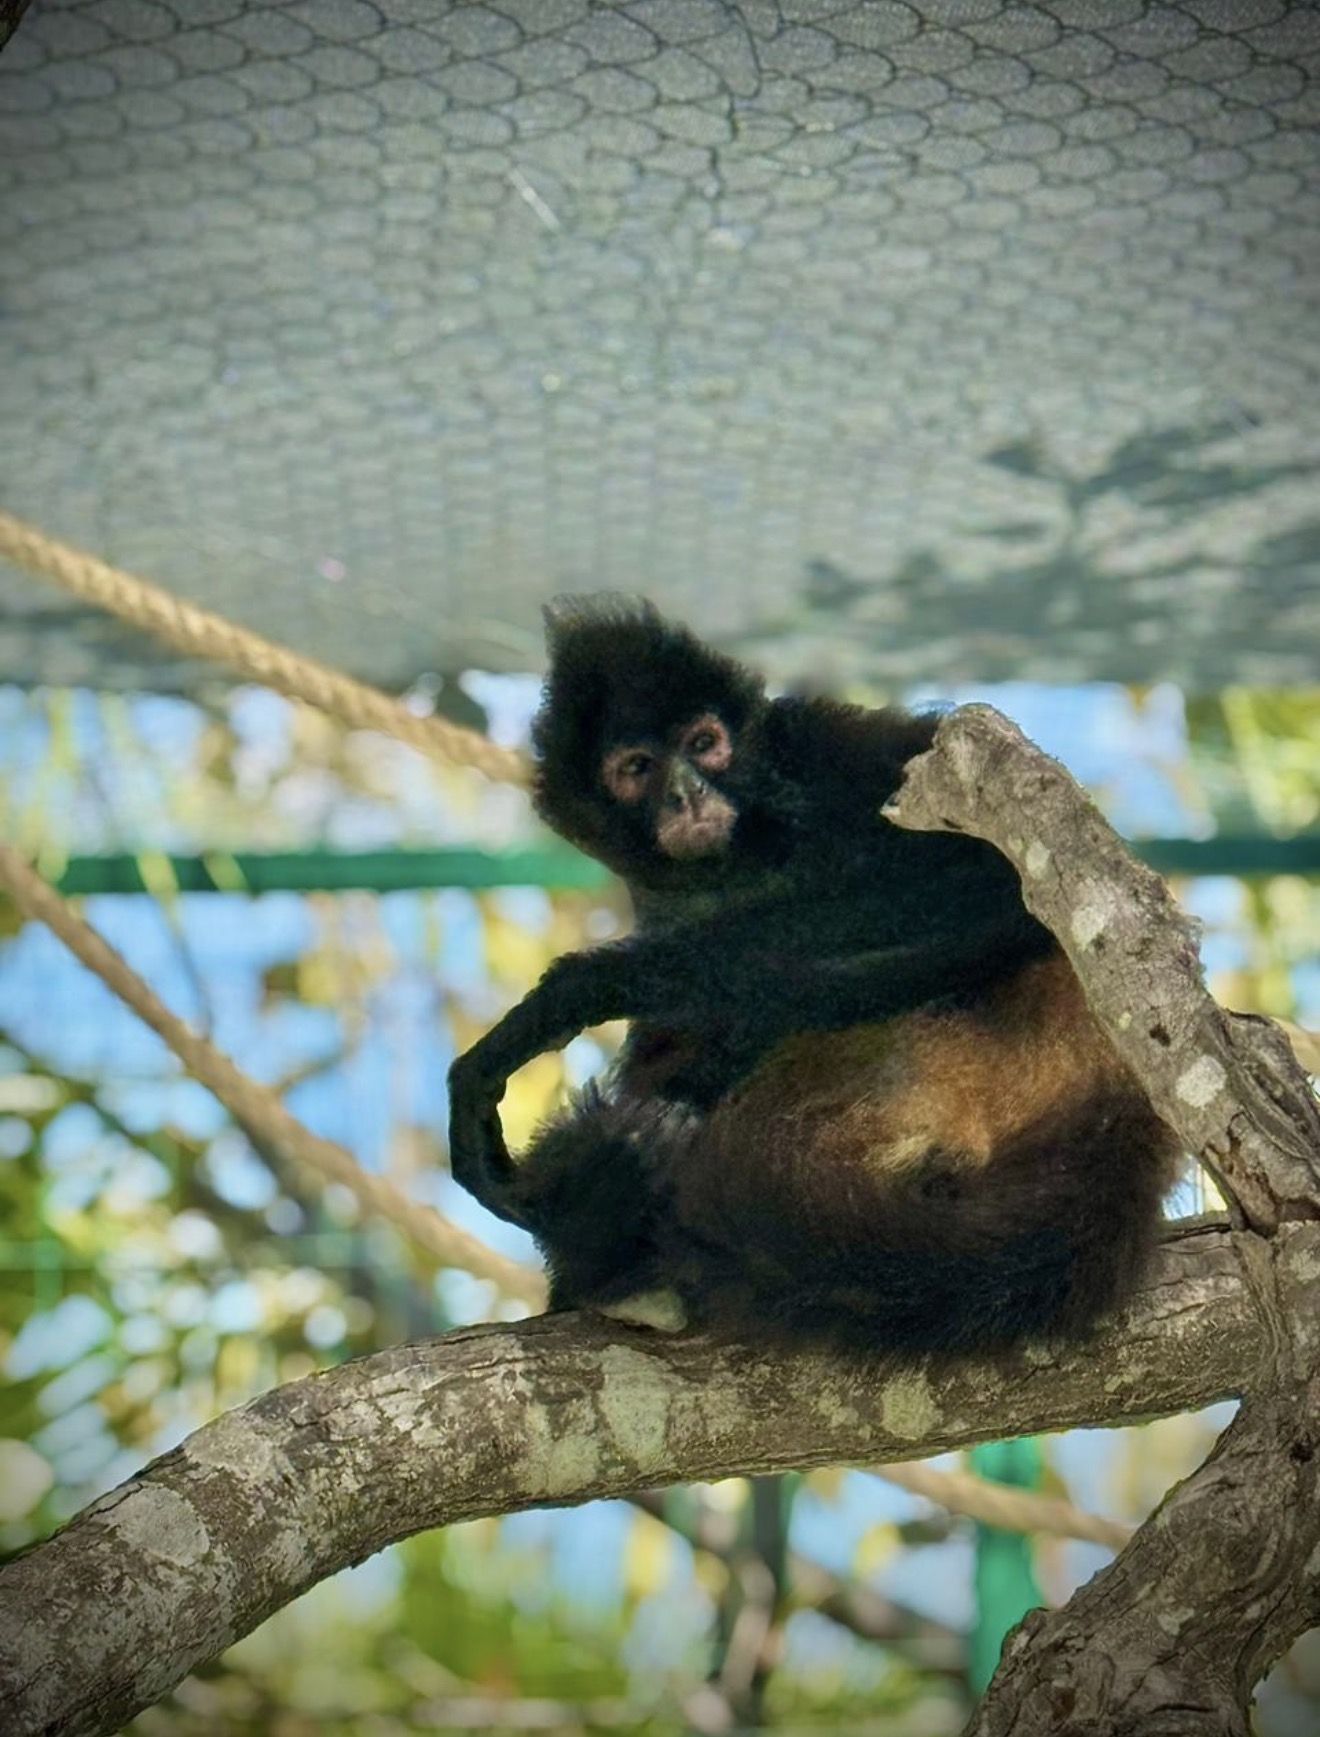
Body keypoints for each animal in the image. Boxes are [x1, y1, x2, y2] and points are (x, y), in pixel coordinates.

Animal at [447, 599, 1180, 1354]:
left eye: (704, 743)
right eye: (638, 766)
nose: (686, 792)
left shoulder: (826, 747)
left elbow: (996, 883)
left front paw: (575, 994)